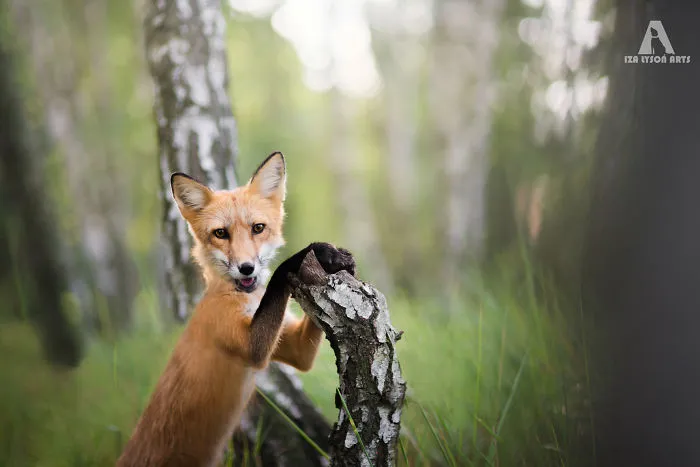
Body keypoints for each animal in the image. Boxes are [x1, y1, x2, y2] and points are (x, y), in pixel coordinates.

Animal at [117, 152, 355, 467]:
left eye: (258, 228)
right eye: (220, 233)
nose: (246, 268)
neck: (235, 296)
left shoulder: (295, 349)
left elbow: (303, 350)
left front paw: (336, 258)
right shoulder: (249, 345)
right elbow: (280, 272)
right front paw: (313, 252)